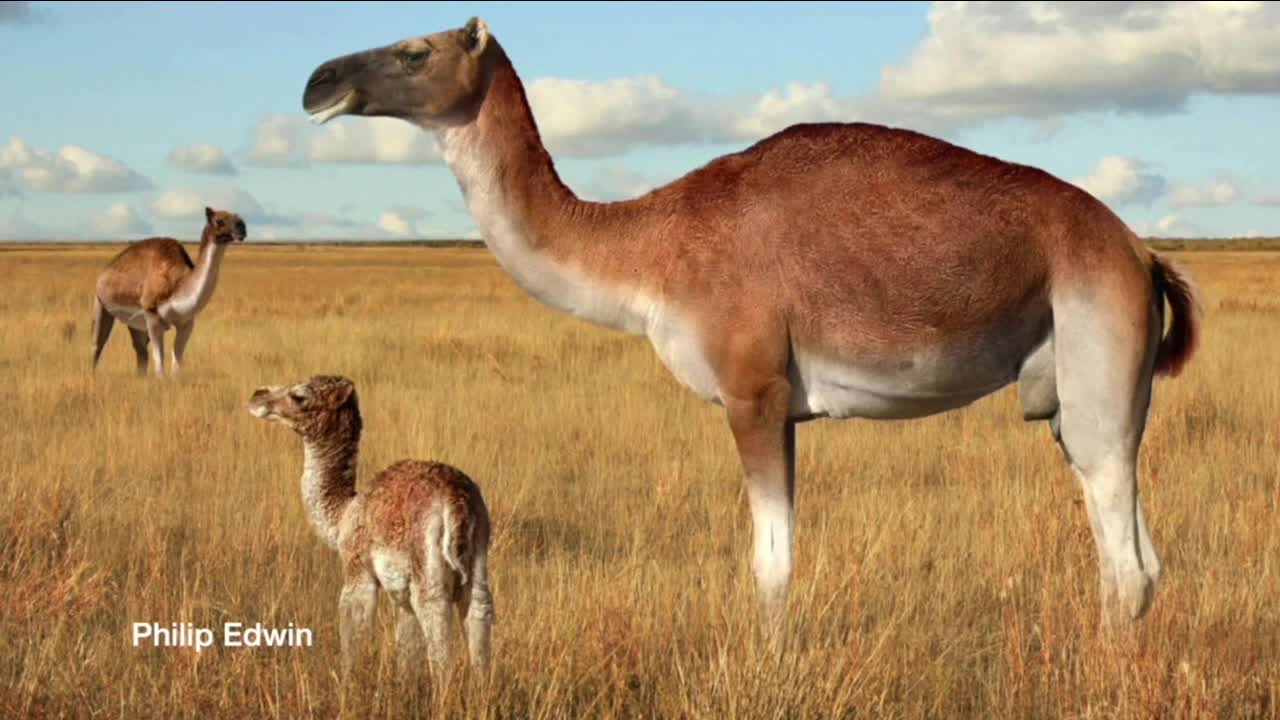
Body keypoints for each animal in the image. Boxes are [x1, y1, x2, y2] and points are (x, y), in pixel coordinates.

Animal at [90, 206, 246, 377]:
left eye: (237, 216)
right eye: (219, 220)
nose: (242, 228)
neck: (177, 285)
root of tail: (103, 274)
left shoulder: (186, 322)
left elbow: (176, 361)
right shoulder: (152, 314)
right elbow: (159, 362)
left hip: (135, 322)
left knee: (140, 352)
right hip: (101, 303)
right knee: (97, 345)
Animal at [247, 375, 495, 679]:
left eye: (300, 396)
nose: (258, 395)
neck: (343, 514)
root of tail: (455, 498)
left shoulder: (357, 568)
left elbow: (353, 629)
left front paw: (348, 683)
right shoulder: (400, 596)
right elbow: (406, 646)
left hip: (427, 562)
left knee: (436, 619)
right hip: (478, 551)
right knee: (478, 608)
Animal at [299, 17, 1203, 638]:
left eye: (416, 50)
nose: (318, 79)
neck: (650, 251)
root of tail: (1140, 254)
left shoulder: (753, 394)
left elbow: (771, 567)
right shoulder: (782, 408)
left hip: (1098, 362)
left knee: (1128, 567)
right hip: (1084, 403)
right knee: (1140, 557)